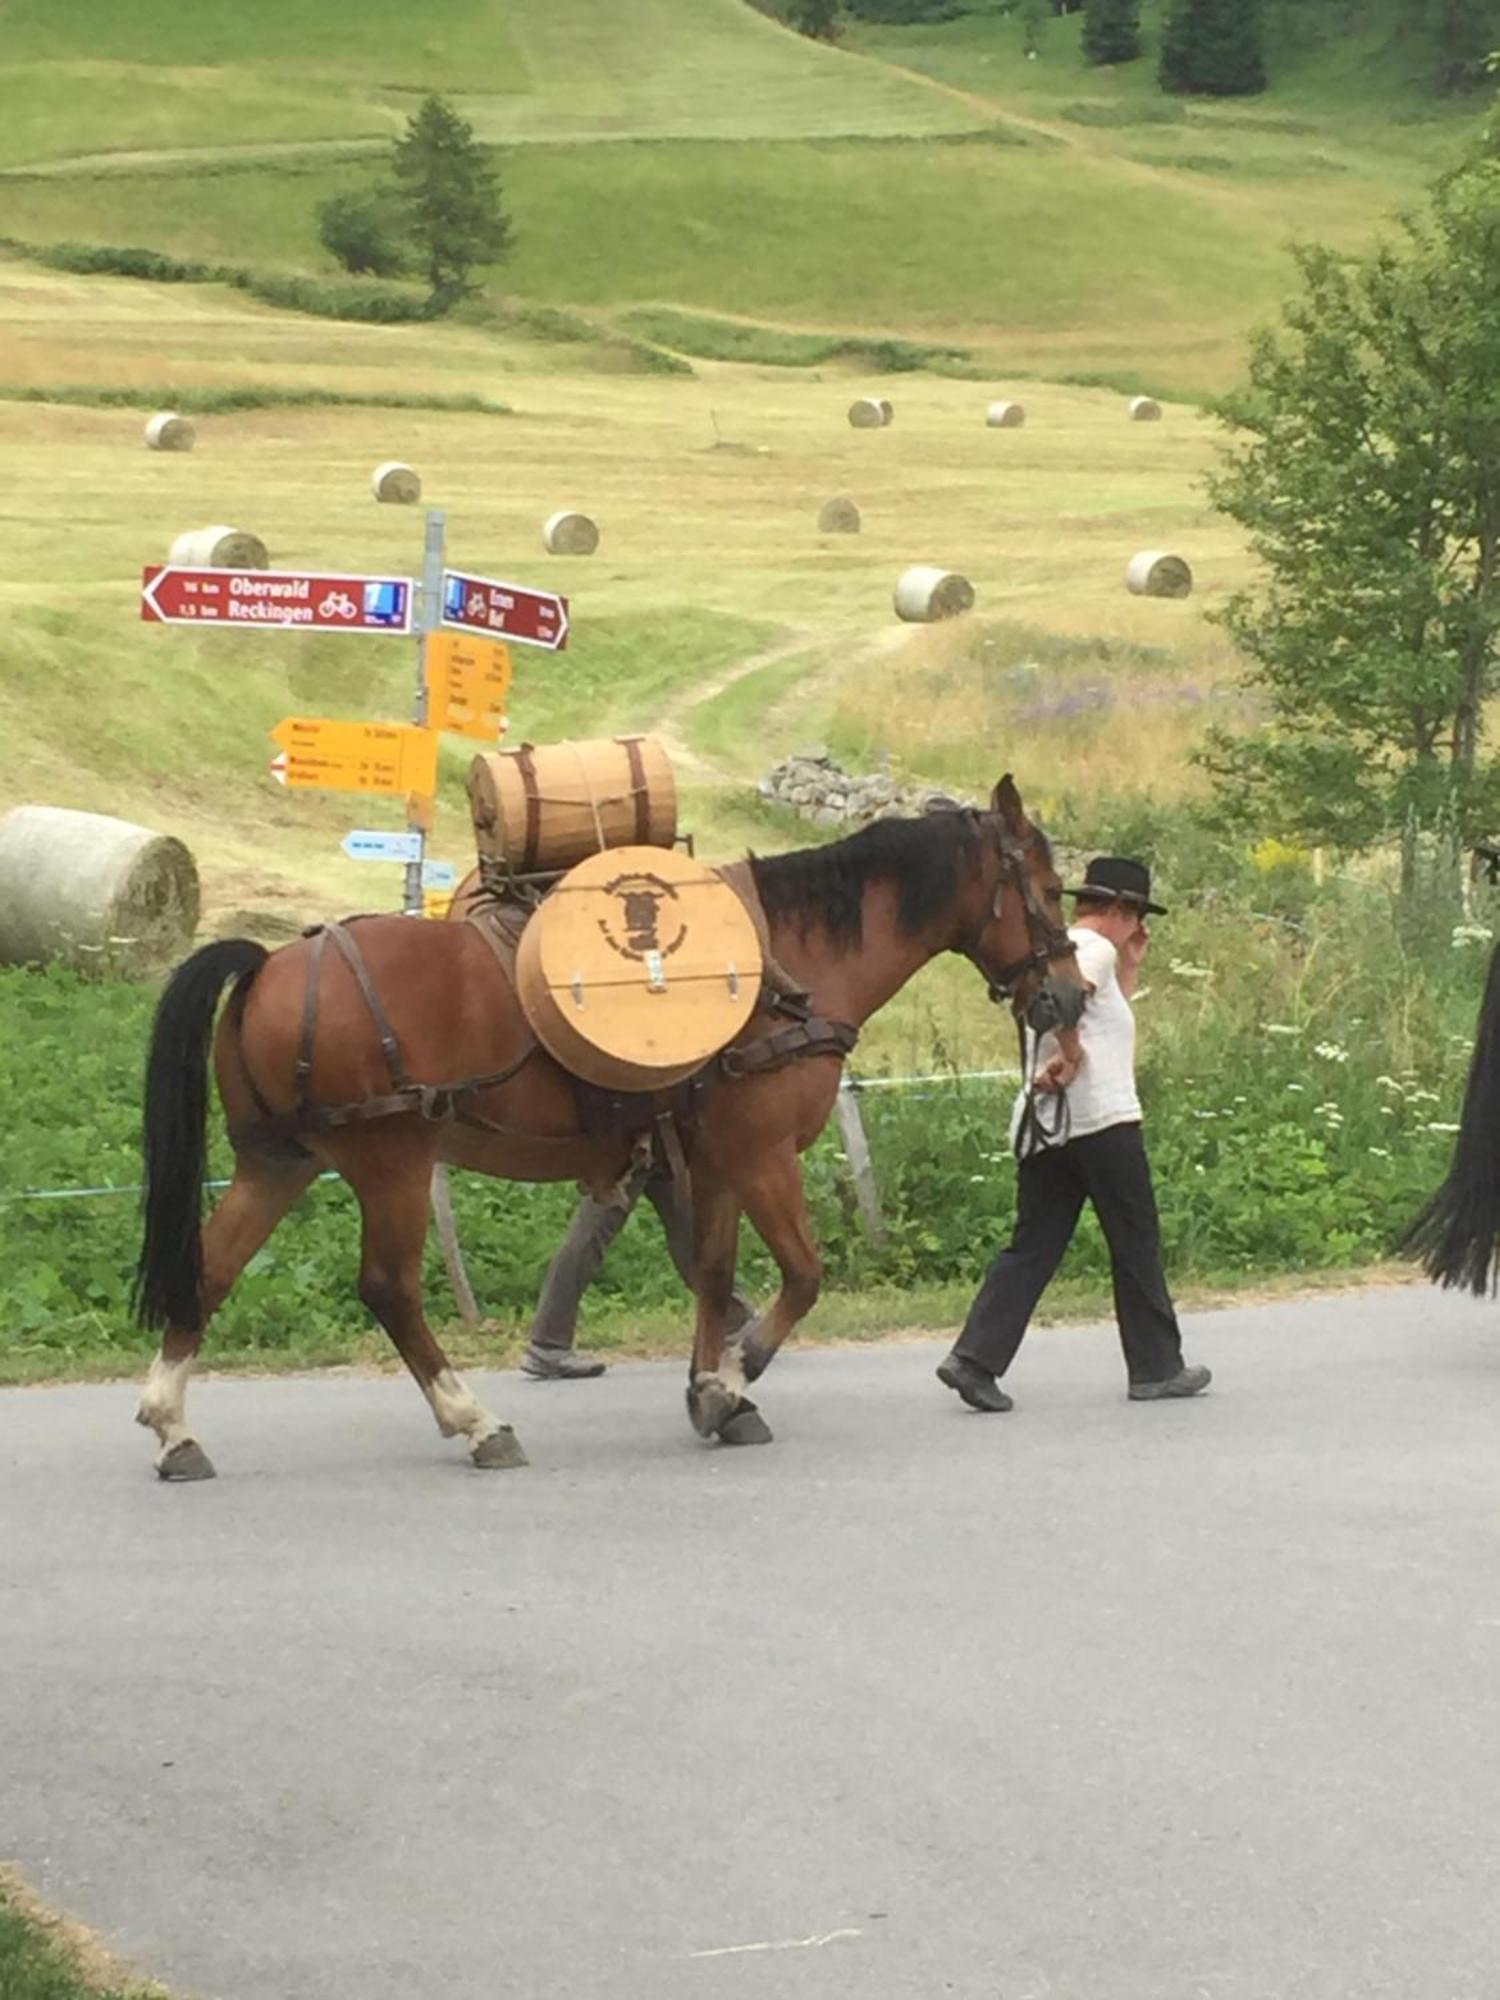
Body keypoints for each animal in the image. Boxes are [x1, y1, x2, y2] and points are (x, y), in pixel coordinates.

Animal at [135, 772, 1088, 1480]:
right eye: (1045, 889)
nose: (1070, 997)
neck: (783, 964)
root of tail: (270, 965)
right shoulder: (761, 1154)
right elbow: (802, 1277)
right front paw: (731, 1381)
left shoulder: (711, 1161)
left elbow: (713, 1272)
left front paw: (713, 1391)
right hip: (391, 1163)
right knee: (389, 1290)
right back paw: (476, 1421)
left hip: (278, 1162)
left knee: (209, 1270)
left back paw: (173, 1425)